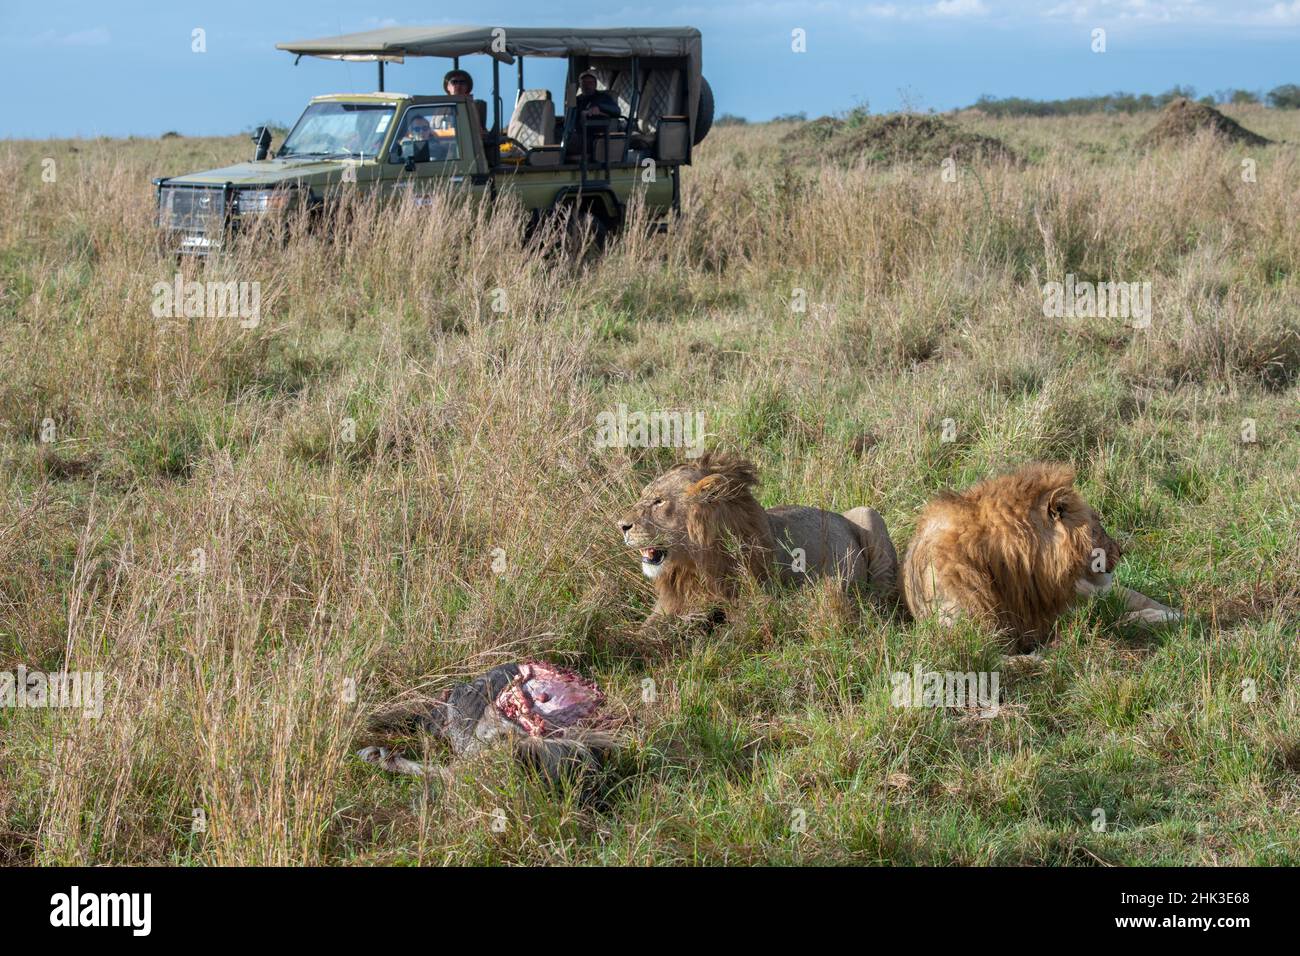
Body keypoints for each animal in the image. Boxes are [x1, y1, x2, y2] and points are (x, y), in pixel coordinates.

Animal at [617, 452, 898, 627]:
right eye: (644, 496)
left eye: (659, 501)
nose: (621, 526)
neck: (695, 566)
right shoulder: (667, 606)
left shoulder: (758, 602)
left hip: (868, 513)